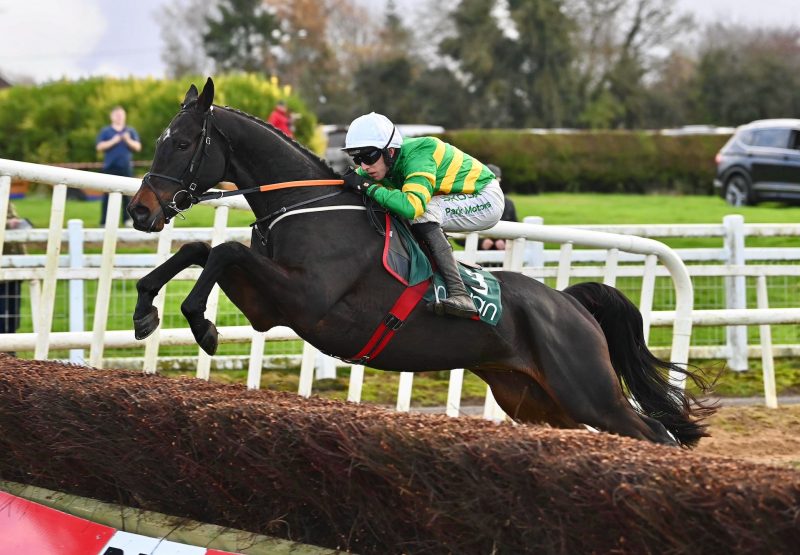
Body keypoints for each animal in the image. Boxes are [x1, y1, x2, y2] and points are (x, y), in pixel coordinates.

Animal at [128, 78, 716, 450]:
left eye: (183, 142)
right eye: (158, 140)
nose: (140, 210)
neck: (308, 205)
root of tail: (570, 304)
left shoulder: (301, 300)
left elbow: (223, 252)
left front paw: (200, 323)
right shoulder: (268, 304)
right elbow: (200, 250)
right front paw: (145, 309)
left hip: (589, 391)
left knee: (656, 435)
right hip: (542, 403)